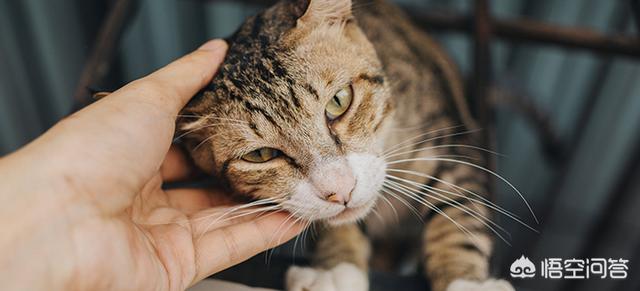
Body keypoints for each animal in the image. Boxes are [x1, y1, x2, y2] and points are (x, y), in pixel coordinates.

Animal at [178, 0, 516, 291]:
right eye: (261, 155)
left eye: (339, 101)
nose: (340, 190)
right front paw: (335, 268)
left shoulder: (447, 142)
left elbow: (458, 209)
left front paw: (466, 282)